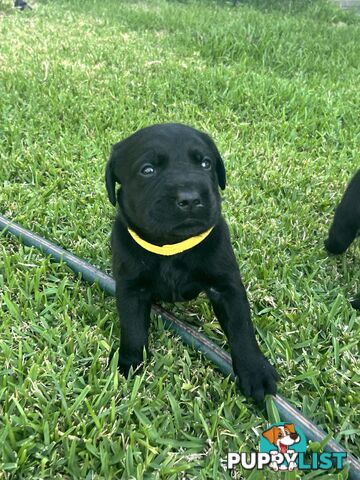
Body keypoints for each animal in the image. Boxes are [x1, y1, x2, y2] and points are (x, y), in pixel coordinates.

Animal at [105, 123, 280, 402]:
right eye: (147, 170)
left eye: (206, 164)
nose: (190, 198)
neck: (173, 246)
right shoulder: (131, 288)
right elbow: (132, 327)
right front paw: (130, 363)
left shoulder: (226, 286)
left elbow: (242, 328)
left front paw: (255, 371)